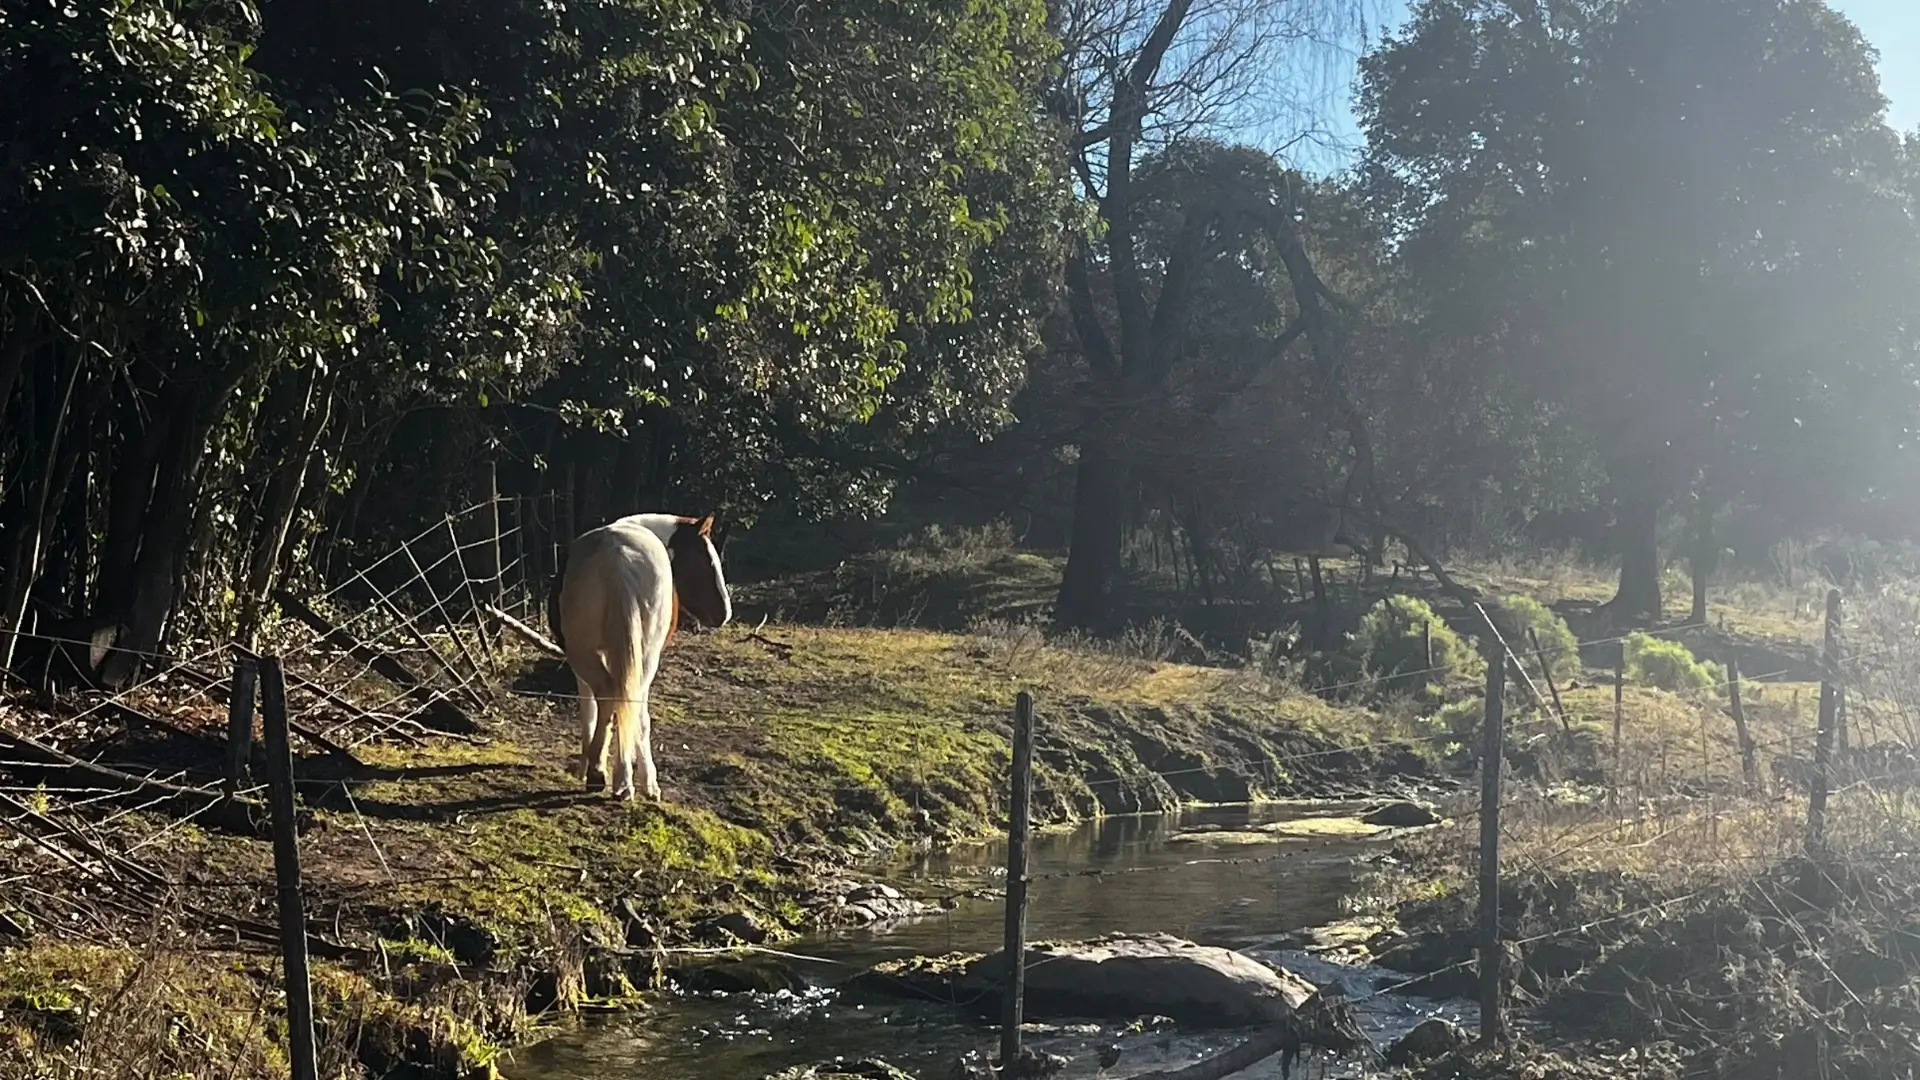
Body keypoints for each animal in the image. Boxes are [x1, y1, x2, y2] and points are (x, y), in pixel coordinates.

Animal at [557, 512, 731, 801]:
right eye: (703, 560)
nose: (724, 613)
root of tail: (619, 555)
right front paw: (648, 782)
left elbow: (596, 713)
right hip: (640, 657)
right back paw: (615, 778)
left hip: (590, 654)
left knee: (614, 697)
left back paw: (606, 776)